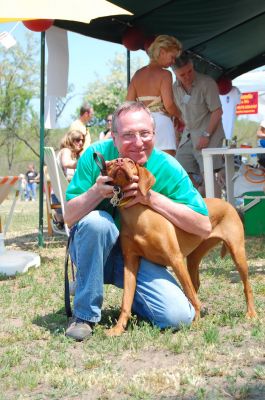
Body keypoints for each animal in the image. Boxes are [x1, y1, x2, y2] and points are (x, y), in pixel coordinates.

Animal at [105, 158, 256, 336]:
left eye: (130, 161)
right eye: (111, 163)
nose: (119, 161)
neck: (138, 218)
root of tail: (227, 203)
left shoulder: (175, 259)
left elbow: (190, 294)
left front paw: (197, 322)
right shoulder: (130, 263)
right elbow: (126, 300)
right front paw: (118, 328)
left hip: (237, 253)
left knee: (246, 286)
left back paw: (251, 313)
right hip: (193, 259)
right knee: (196, 284)